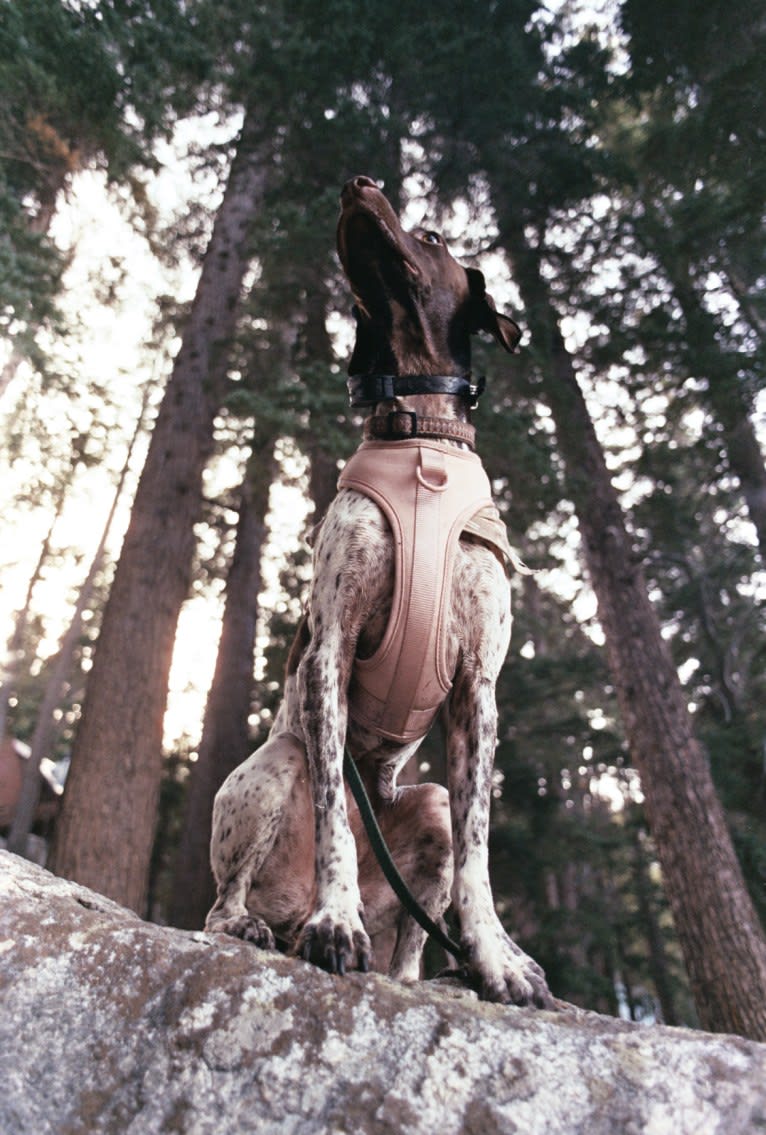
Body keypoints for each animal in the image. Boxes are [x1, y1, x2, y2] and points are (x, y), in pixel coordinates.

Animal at [204, 172, 551, 1007]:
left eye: (431, 236)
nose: (356, 183)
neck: (419, 433)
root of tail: (284, 905)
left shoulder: (477, 687)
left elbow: (480, 858)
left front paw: (497, 956)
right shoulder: (329, 650)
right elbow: (335, 808)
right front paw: (339, 922)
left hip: (427, 806)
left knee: (412, 945)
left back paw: (438, 971)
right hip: (276, 766)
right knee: (221, 904)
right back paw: (271, 923)